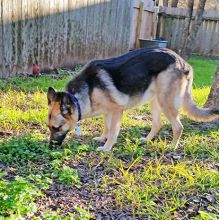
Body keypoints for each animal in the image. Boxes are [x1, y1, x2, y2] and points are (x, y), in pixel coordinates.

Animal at [47, 47, 218, 151]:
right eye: (49, 127)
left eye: (57, 127)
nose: (50, 147)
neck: (85, 92)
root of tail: (182, 61)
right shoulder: (107, 112)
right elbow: (106, 127)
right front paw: (102, 138)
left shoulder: (117, 111)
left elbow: (113, 131)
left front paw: (107, 147)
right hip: (154, 101)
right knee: (157, 123)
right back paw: (147, 140)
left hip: (165, 103)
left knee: (178, 127)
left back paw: (172, 147)